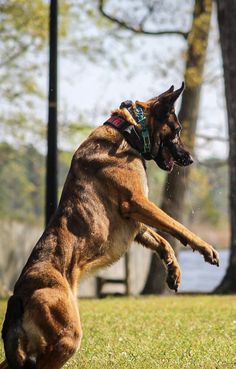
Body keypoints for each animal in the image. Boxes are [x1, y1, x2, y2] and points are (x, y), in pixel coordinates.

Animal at [0, 83, 219, 368]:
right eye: (178, 130)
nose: (190, 159)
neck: (129, 130)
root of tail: (18, 297)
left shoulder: (136, 222)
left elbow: (163, 241)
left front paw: (174, 271)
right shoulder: (137, 203)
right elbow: (177, 227)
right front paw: (205, 248)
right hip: (66, 337)